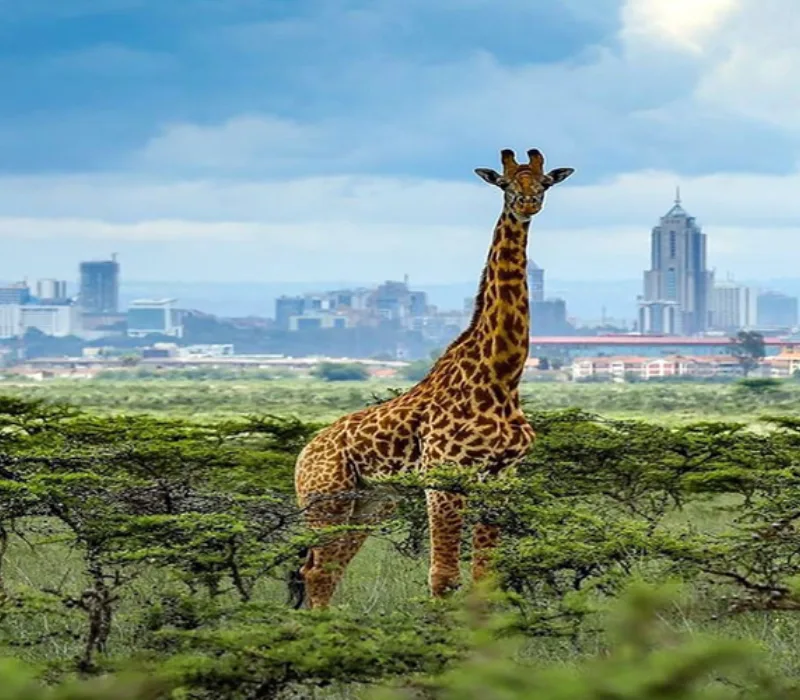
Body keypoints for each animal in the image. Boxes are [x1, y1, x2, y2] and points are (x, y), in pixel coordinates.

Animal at [292, 148, 574, 609]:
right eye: (505, 183)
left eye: (545, 182)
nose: (528, 203)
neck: (501, 375)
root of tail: (303, 455)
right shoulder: (443, 476)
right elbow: (442, 577)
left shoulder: (501, 479)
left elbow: (483, 577)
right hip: (325, 498)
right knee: (315, 569)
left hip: (372, 500)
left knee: (328, 569)